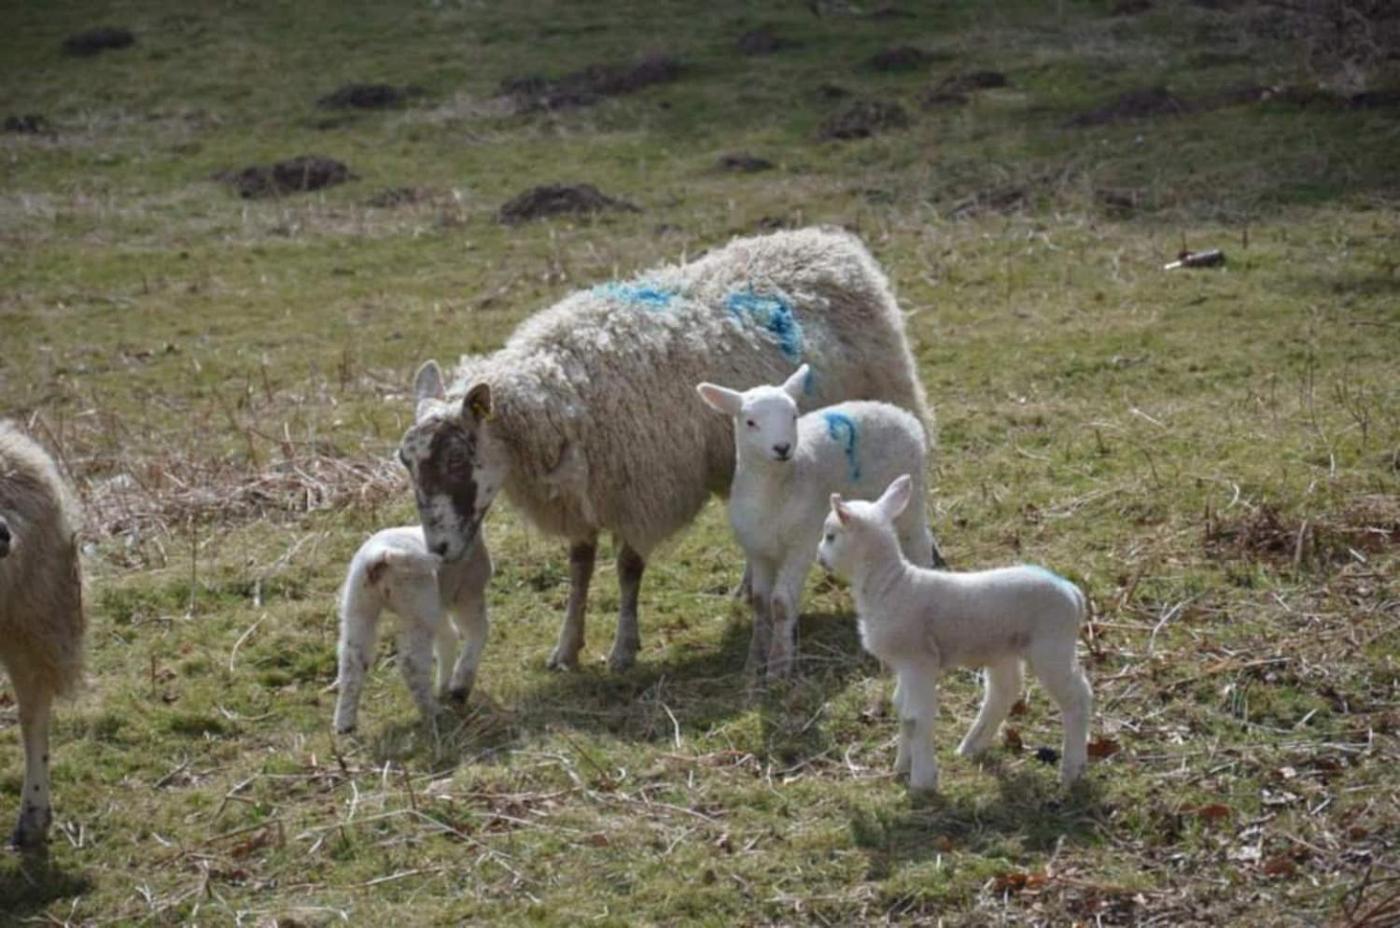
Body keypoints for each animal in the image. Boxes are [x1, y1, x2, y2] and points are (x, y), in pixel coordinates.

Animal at [333, 525, 492, 734]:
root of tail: (382, 555)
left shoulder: (440, 604)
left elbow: (448, 638)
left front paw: (444, 687)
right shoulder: (467, 592)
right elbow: (476, 632)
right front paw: (458, 688)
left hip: (358, 605)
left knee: (352, 662)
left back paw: (344, 723)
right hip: (417, 606)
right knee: (412, 664)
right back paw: (433, 711)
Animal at [696, 363, 940, 678]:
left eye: (793, 415)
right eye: (750, 422)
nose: (782, 448)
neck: (775, 491)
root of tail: (901, 414)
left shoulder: (802, 542)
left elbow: (780, 604)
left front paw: (778, 666)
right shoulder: (758, 550)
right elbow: (761, 605)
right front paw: (754, 662)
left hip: (911, 493)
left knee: (919, 545)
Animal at [817, 475, 1092, 791]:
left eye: (830, 536)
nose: (819, 557)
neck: (890, 584)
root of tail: (1072, 592)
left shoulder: (919, 659)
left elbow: (917, 717)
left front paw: (922, 781)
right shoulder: (904, 663)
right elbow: (903, 712)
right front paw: (901, 767)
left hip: (1052, 644)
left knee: (1077, 697)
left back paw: (1072, 769)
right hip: (1003, 648)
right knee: (1003, 691)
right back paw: (971, 746)